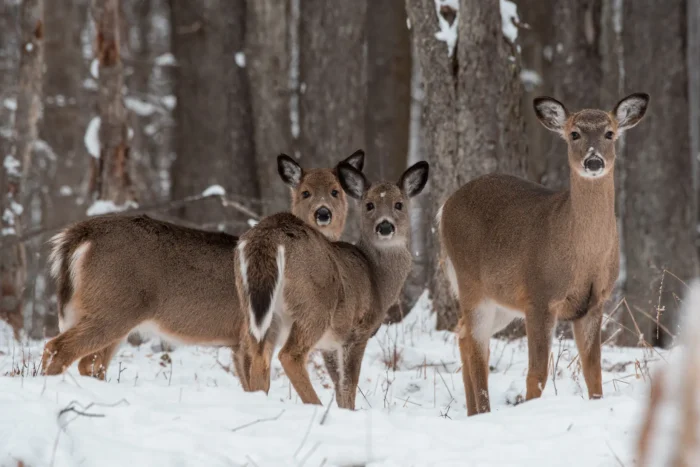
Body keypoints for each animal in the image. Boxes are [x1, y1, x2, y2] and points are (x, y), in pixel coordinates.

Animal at [41, 151, 365, 384]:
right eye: (305, 192)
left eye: (336, 191)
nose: (323, 213)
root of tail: (80, 235)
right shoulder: (249, 334)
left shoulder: (236, 342)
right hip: (115, 306)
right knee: (59, 348)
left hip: (112, 313)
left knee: (89, 362)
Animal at [235, 157, 429, 409]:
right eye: (369, 205)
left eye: (399, 204)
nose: (385, 226)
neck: (376, 278)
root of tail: (268, 237)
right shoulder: (358, 330)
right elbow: (349, 384)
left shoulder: (329, 344)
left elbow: (338, 385)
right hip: (314, 305)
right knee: (289, 355)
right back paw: (314, 404)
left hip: (256, 308)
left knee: (258, 356)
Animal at [438, 93, 649, 416]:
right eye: (574, 134)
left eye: (609, 133)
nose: (594, 161)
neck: (582, 256)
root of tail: (444, 207)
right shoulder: (540, 297)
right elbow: (536, 373)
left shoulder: (594, 303)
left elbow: (594, 370)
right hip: (471, 282)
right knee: (476, 347)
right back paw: (483, 412)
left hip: (501, 301)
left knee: (462, 333)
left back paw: (473, 413)